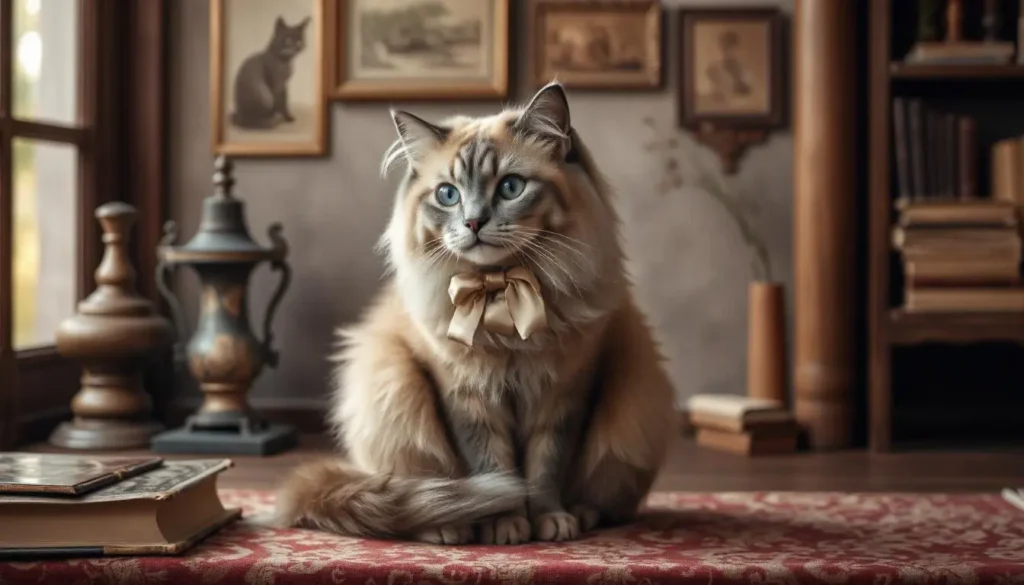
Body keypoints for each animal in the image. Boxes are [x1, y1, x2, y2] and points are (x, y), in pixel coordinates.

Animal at [272, 81, 675, 545]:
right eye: (448, 194)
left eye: (511, 187)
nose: (474, 223)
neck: (500, 289)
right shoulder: (467, 395)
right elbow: (495, 469)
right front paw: (506, 524)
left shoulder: (563, 394)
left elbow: (544, 471)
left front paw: (550, 520)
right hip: (396, 394)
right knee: (421, 494)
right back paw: (450, 527)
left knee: (604, 500)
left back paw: (580, 514)